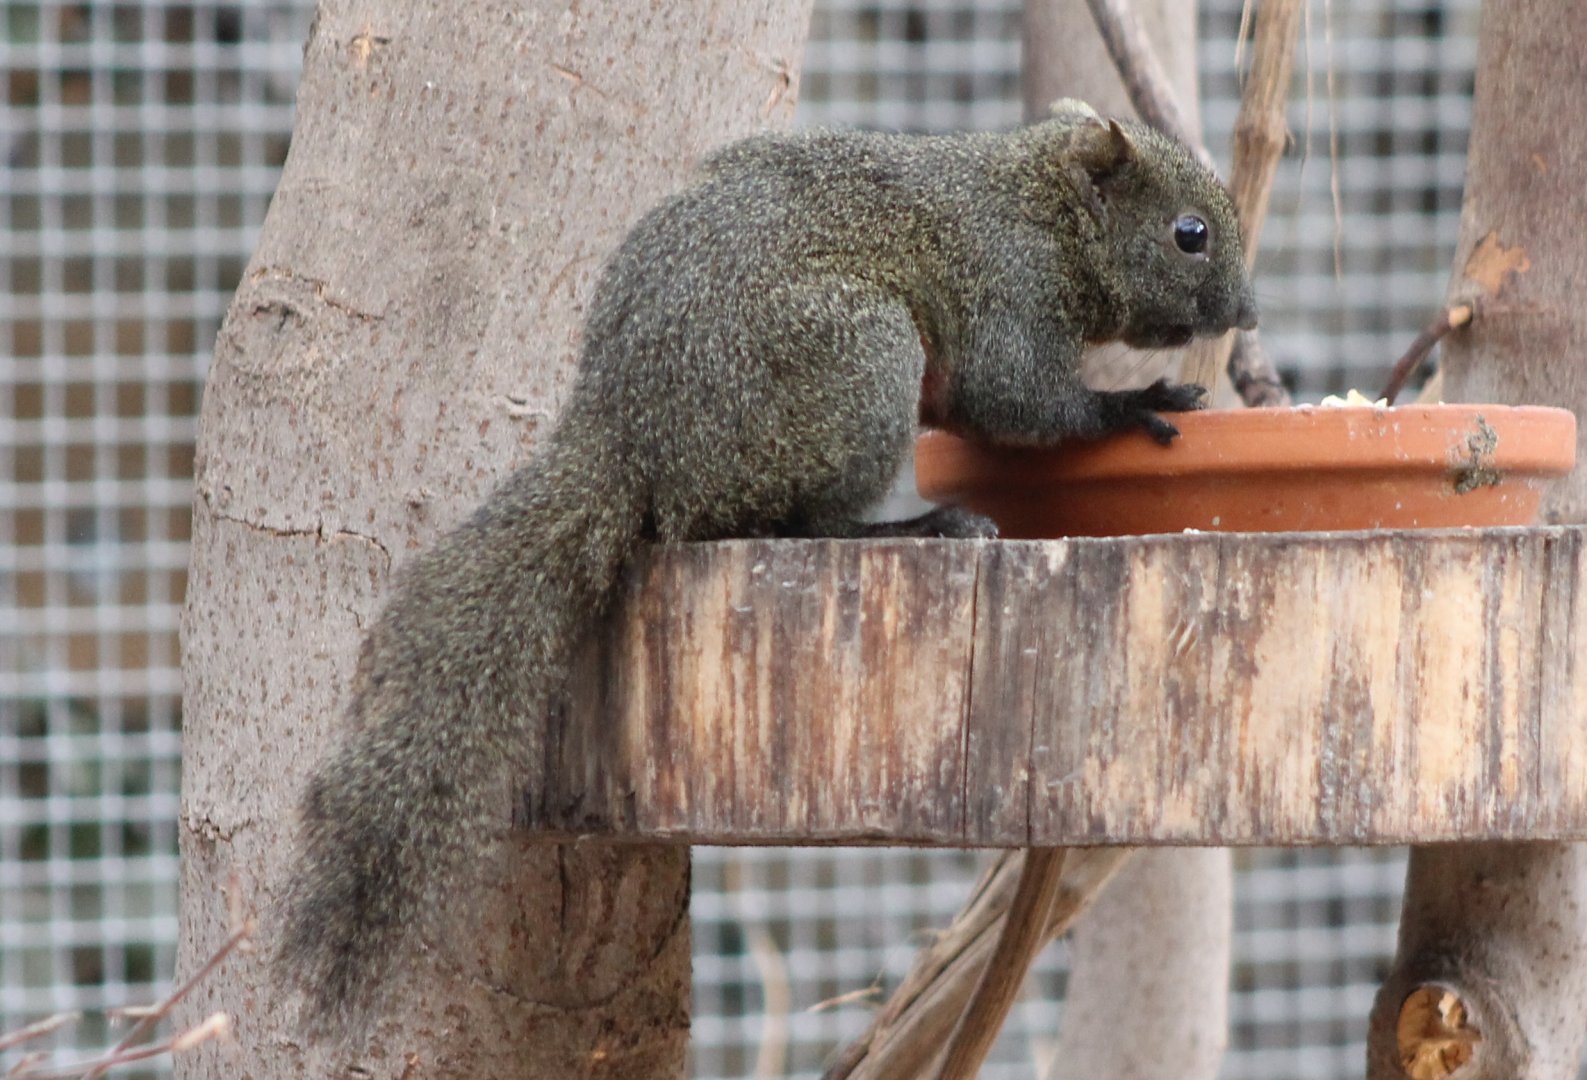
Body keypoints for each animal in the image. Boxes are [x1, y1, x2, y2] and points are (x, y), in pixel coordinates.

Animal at [277, 100, 1258, 1039]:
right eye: (1189, 233)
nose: (1246, 314)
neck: (1043, 209)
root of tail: (631, 432)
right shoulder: (1005, 290)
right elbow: (1014, 399)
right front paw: (1131, 405)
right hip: (854, 359)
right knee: (807, 523)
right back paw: (924, 524)